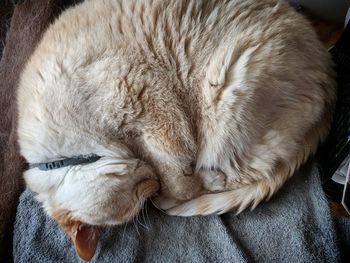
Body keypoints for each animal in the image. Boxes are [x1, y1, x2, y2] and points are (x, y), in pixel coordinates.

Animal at [17, 0, 336, 260]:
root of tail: (328, 67)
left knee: (235, 175)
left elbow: (176, 169)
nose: (154, 188)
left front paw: (174, 187)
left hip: (225, 96)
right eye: (139, 198)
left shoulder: (146, 98)